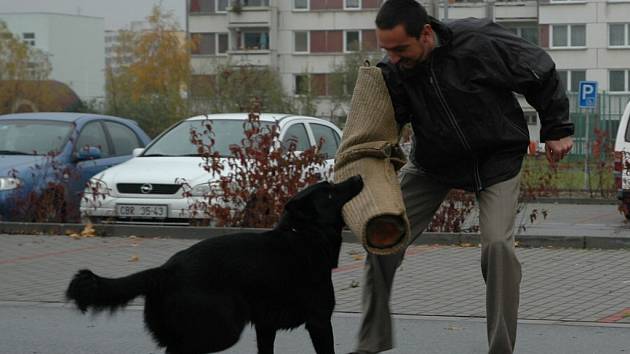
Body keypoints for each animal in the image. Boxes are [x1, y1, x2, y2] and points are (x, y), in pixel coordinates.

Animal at [66, 176, 362, 354]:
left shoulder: (266, 327)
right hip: (221, 331)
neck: (304, 235)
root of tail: (165, 271)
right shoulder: (319, 321)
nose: (357, 178)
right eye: (331, 193)